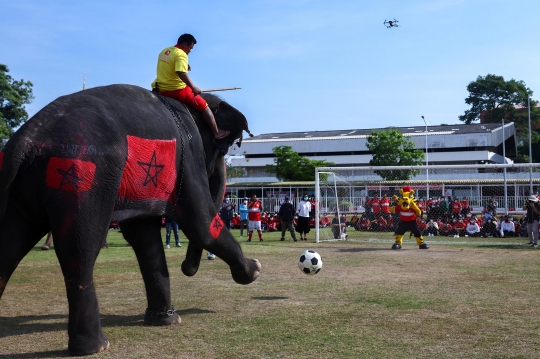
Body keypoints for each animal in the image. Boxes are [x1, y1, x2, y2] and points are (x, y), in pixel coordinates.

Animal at [0, 85, 262, 358]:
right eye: (222, 149)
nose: (187, 268)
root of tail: (26, 138)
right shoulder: (188, 156)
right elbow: (200, 225)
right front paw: (254, 270)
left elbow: (145, 238)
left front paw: (166, 320)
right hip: (80, 178)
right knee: (79, 250)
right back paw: (95, 346)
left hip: (22, 190)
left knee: (8, 247)